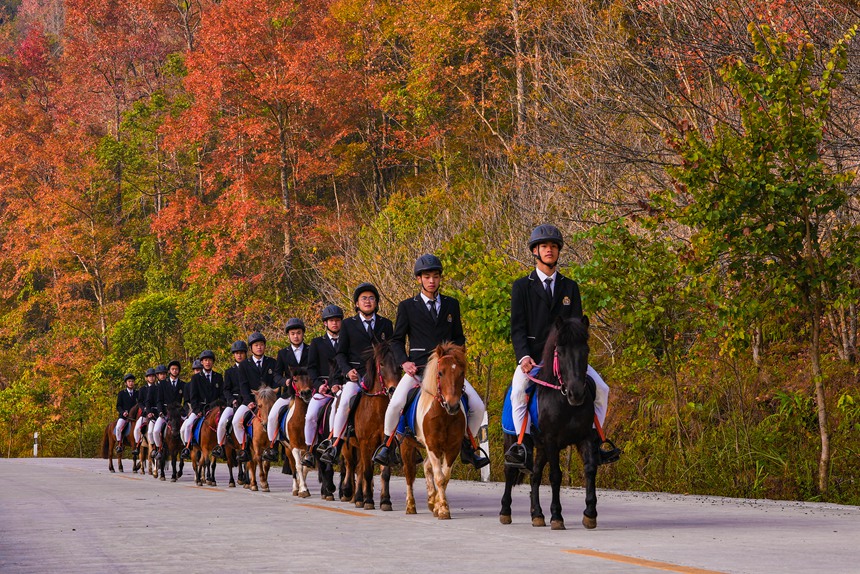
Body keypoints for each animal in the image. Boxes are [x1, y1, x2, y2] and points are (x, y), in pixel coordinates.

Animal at [280, 368, 314, 500]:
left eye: (309, 378)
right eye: (295, 380)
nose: (306, 393)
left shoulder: (309, 445)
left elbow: (305, 467)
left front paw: (304, 488)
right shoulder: (294, 447)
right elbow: (298, 466)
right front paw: (302, 489)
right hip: (288, 449)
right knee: (293, 466)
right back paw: (295, 488)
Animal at [342, 342, 400, 512]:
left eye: (399, 365)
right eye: (382, 364)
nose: (393, 389)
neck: (377, 410)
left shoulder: (386, 444)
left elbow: (385, 473)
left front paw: (385, 501)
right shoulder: (365, 443)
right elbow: (367, 472)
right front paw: (368, 500)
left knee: (359, 468)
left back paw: (358, 498)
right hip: (349, 446)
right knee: (352, 466)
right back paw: (352, 494)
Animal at [400, 344, 466, 524]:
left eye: (461, 373)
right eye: (440, 372)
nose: (452, 406)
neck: (444, 415)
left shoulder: (452, 448)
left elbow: (445, 476)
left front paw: (437, 504)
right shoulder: (433, 446)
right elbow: (440, 477)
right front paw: (443, 509)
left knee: (426, 465)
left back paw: (431, 499)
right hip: (406, 445)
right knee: (409, 473)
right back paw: (410, 505)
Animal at [498, 316, 596, 532]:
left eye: (586, 350)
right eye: (560, 351)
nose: (576, 394)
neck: (563, 401)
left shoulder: (585, 437)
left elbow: (590, 469)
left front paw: (590, 514)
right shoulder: (552, 441)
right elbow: (555, 475)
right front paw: (557, 516)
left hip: (541, 447)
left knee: (534, 475)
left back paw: (537, 515)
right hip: (512, 439)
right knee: (510, 471)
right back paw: (505, 512)